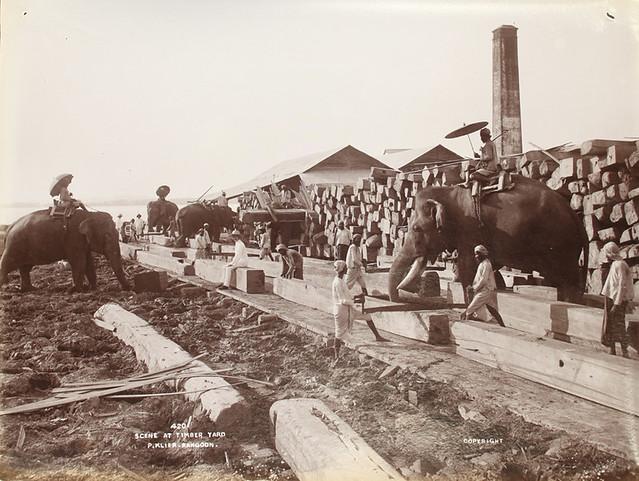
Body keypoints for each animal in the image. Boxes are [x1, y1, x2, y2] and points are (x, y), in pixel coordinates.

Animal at [0, 208, 131, 290]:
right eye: (107, 236)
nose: (128, 288)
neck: (90, 214)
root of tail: (10, 227)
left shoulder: (82, 242)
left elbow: (89, 263)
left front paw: (93, 288)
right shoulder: (74, 238)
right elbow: (79, 262)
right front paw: (79, 290)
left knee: (25, 268)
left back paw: (30, 289)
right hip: (15, 246)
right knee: (8, 263)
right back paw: (5, 285)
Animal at [388, 176, 588, 302]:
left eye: (416, 228)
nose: (398, 298)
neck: (449, 192)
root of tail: (575, 217)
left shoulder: (469, 230)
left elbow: (468, 266)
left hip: (562, 245)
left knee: (568, 281)